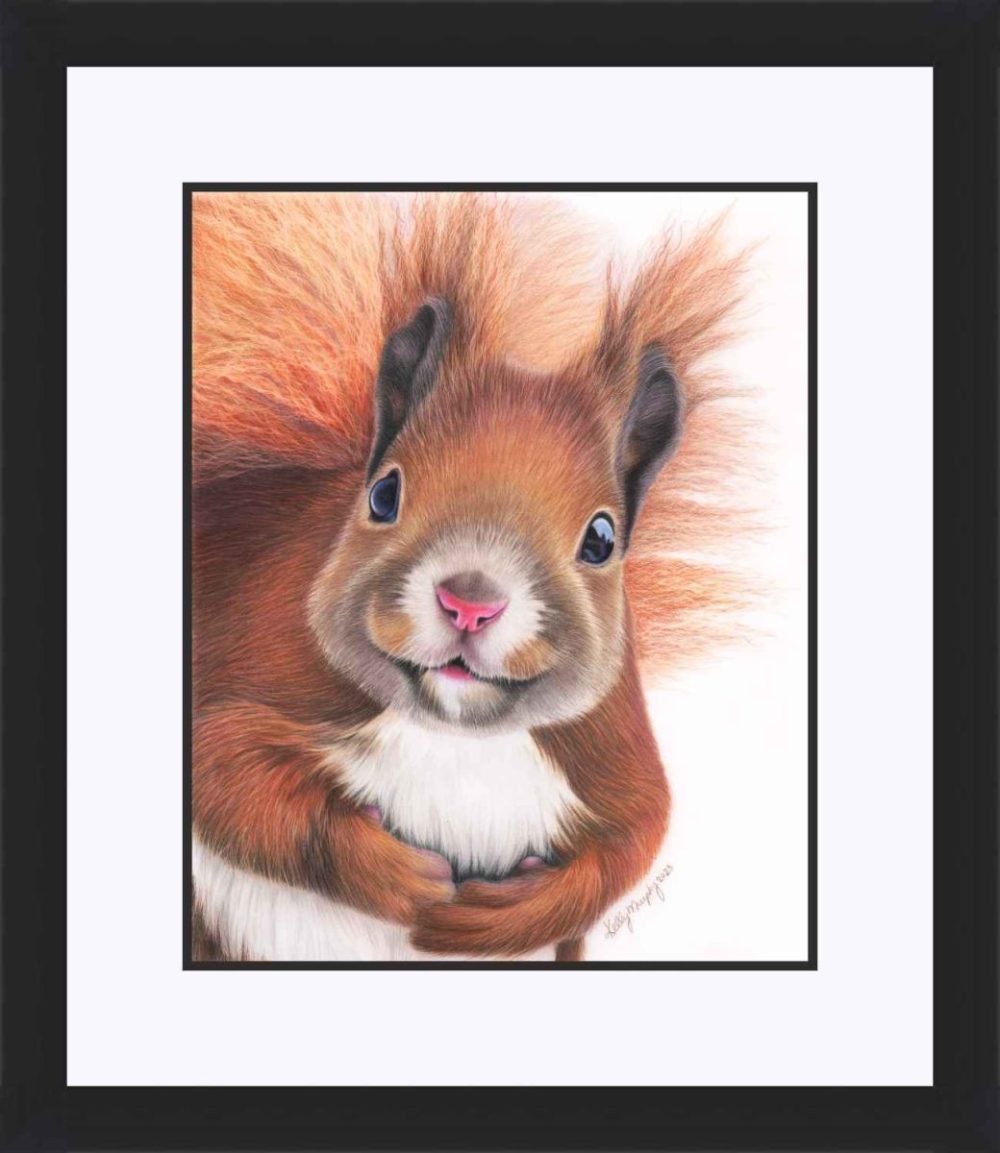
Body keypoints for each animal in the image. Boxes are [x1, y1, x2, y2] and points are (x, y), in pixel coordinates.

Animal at [191, 192, 752, 962]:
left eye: (602, 539)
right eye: (383, 494)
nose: (469, 605)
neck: (455, 737)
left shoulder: (611, 751)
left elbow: (631, 842)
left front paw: (492, 918)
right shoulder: (251, 667)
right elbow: (228, 782)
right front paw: (400, 878)